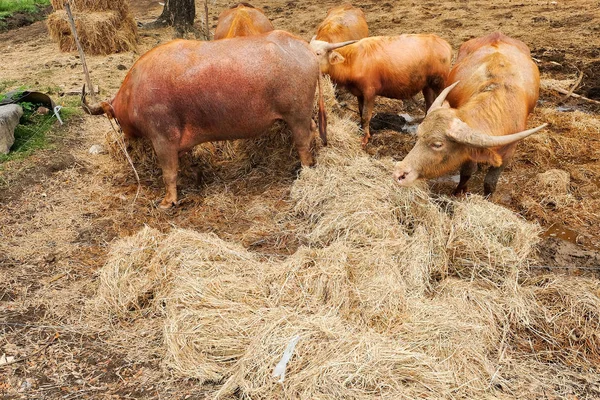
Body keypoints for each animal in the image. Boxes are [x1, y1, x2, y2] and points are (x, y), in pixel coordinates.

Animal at [81, 31, 328, 209]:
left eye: (117, 121)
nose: (125, 139)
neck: (135, 91)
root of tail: (303, 47)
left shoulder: (163, 139)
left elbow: (169, 173)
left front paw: (167, 202)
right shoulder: (181, 142)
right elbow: (188, 163)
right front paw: (198, 178)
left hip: (297, 115)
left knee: (303, 141)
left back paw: (305, 169)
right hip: (301, 116)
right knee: (313, 129)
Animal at [312, 34, 452, 147]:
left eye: (318, 53)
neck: (353, 61)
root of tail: (445, 45)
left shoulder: (370, 93)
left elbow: (366, 116)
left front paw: (365, 138)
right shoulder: (359, 94)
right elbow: (361, 113)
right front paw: (361, 130)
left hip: (440, 84)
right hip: (427, 86)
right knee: (429, 105)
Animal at [394, 33, 548, 196]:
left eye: (437, 144)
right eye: (419, 135)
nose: (399, 173)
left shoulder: (508, 153)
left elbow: (490, 182)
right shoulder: (468, 151)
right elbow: (467, 172)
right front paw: (458, 192)